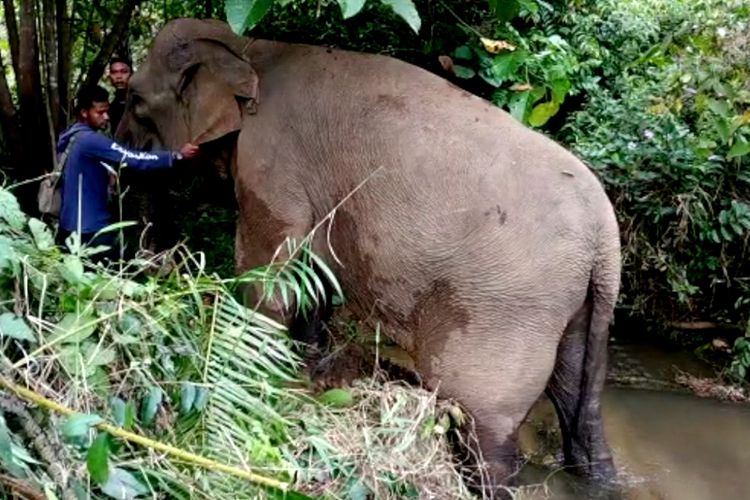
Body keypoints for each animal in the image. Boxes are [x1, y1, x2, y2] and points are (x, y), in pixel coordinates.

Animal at [117, 17, 624, 494]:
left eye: (136, 100)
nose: (151, 269)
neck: (250, 49)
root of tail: (605, 235)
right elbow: (311, 274)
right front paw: (308, 371)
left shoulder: (269, 163)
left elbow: (267, 277)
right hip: (579, 307)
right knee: (577, 408)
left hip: (505, 308)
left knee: (481, 421)